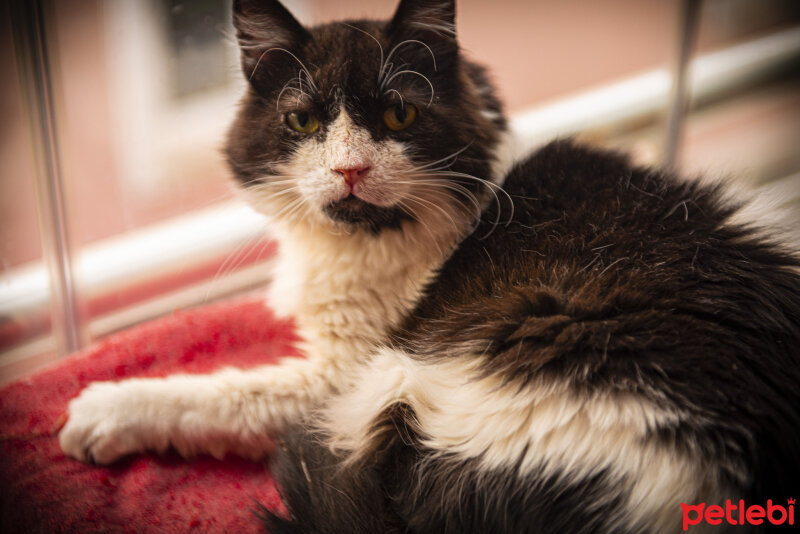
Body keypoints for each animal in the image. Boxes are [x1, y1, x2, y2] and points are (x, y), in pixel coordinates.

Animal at [57, 1, 800, 534]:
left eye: (399, 115)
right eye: (303, 123)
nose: (350, 170)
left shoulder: (338, 374)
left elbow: (222, 396)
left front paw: (101, 414)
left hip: (398, 383)